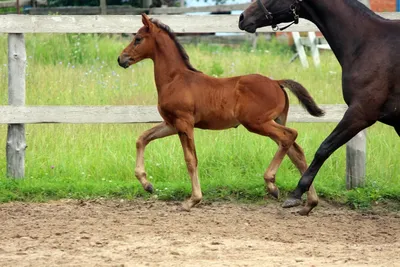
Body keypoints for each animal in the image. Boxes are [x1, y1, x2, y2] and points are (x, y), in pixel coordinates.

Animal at [117, 13, 324, 214]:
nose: (121, 59)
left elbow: (191, 160)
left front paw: (192, 200)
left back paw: (272, 184)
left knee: (290, 136)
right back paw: (308, 203)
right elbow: (142, 139)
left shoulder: (184, 123)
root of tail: (276, 82)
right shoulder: (171, 124)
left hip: (257, 123)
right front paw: (147, 184)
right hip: (274, 121)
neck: (175, 79)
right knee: (296, 152)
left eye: (137, 39)